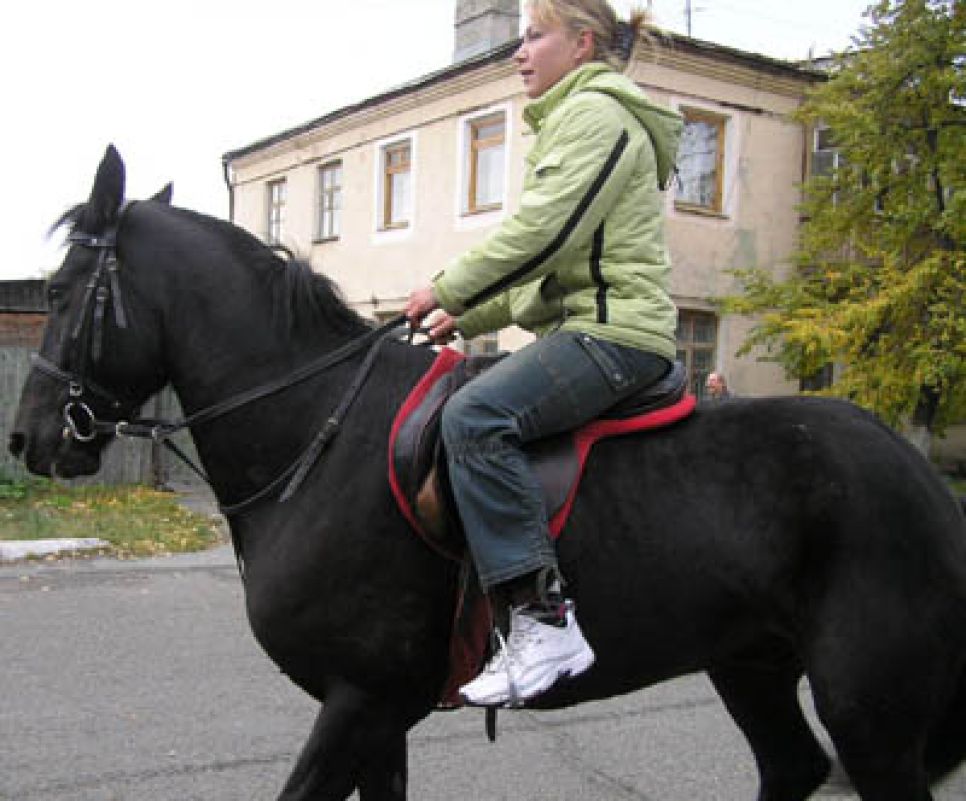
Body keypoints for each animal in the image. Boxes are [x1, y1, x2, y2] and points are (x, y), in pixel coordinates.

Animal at [10, 145, 966, 801]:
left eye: (58, 291)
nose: (29, 439)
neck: (320, 436)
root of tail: (924, 480)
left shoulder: (360, 699)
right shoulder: (378, 713)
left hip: (871, 710)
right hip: (752, 663)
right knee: (793, 765)